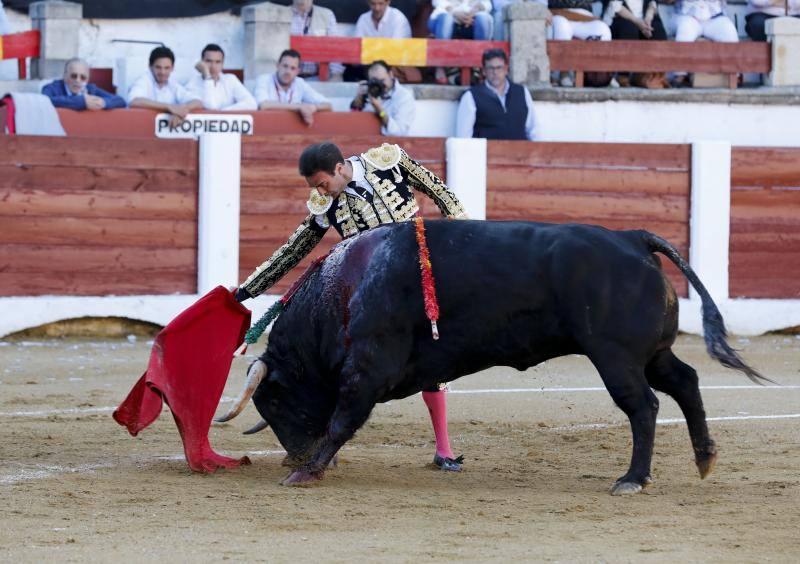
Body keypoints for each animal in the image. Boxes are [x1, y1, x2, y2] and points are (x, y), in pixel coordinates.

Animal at [228, 220, 764, 494]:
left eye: (274, 403)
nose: (294, 454)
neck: (345, 288)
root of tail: (633, 238)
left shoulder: (367, 370)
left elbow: (342, 420)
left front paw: (307, 472)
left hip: (616, 357)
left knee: (644, 406)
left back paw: (632, 479)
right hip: (651, 353)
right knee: (686, 382)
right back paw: (704, 457)